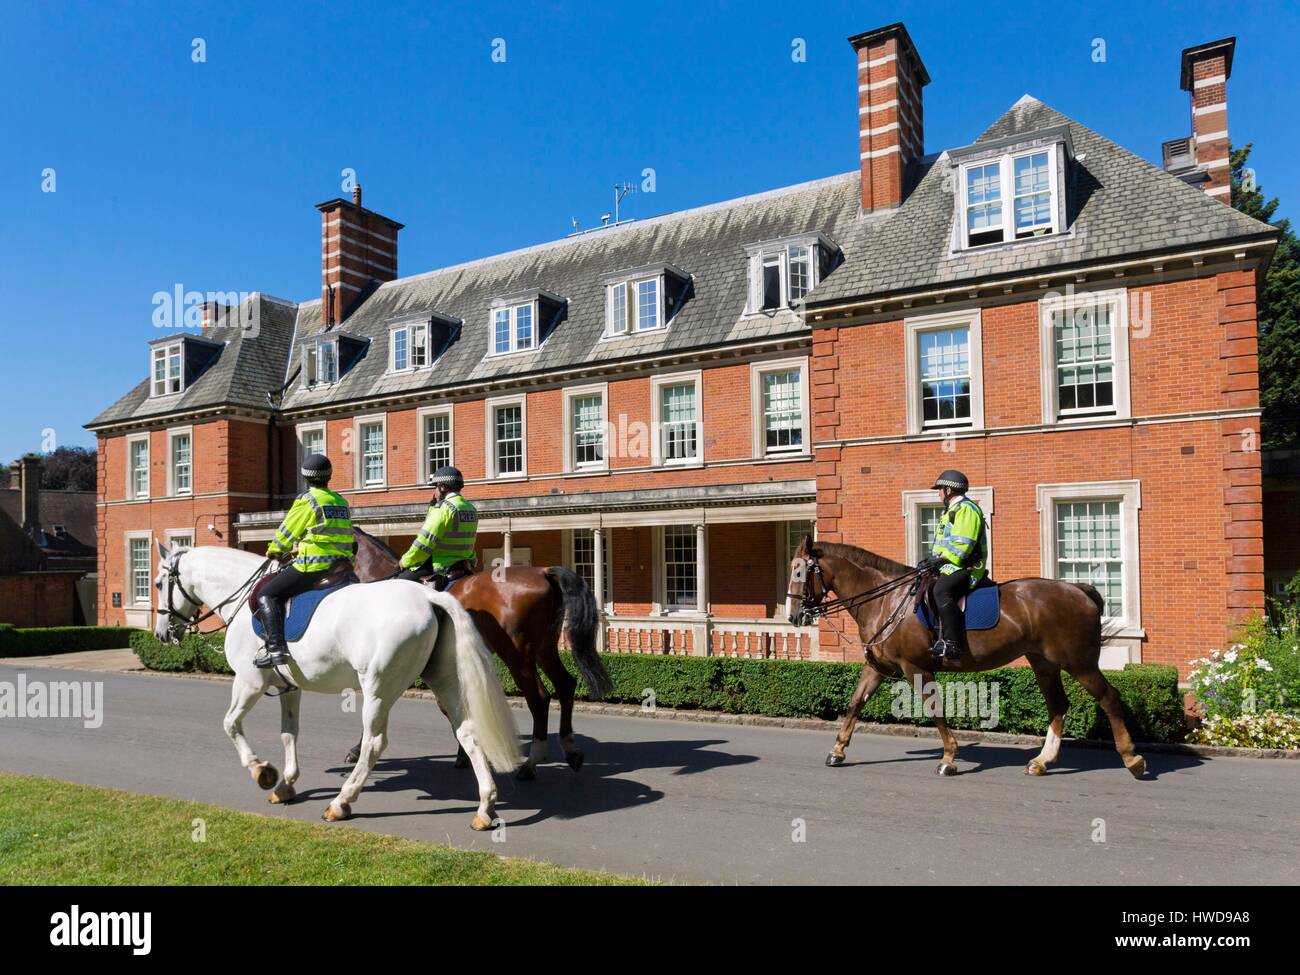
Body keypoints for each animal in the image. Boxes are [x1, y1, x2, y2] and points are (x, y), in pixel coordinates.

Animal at [150, 546, 517, 826]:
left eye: (157, 582)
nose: (161, 633)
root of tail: (429, 596)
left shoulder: (248, 682)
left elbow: (230, 724)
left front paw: (262, 771)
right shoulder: (289, 688)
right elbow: (289, 733)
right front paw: (286, 784)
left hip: (378, 690)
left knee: (373, 744)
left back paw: (342, 802)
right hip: (445, 682)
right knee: (468, 733)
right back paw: (485, 807)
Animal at [351, 527, 613, 780]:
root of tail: (543, 572)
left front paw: (358, 748)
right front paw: (465, 753)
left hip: (517, 656)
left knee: (539, 698)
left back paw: (531, 762)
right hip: (544, 649)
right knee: (565, 684)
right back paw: (570, 750)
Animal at [780, 538, 1149, 785]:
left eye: (799, 572)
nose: (794, 616)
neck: (887, 600)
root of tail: (1078, 590)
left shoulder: (916, 668)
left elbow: (934, 710)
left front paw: (949, 757)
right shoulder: (878, 667)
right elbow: (855, 703)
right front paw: (838, 750)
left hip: (1079, 663)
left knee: (1109, 698)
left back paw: (1132, 758)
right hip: (1044, 663)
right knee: (1058, 705)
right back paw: (1043, 761)